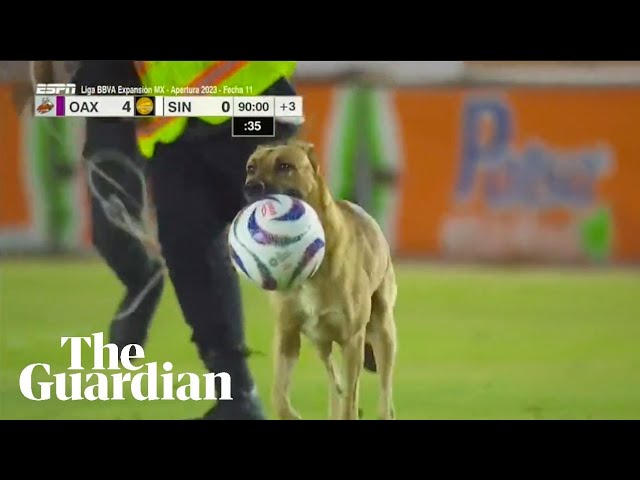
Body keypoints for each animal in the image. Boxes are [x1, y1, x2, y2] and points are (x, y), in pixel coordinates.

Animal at [242, 139, 398, 420]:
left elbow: (350, 400)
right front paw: (291, 414)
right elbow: (279, 396)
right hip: (320, 341)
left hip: (383, 331)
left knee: (382, 393)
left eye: (285, 166)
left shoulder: (352, 339)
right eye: (251, 167)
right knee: (334, 379)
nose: (251, 188)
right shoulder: (287, 334)